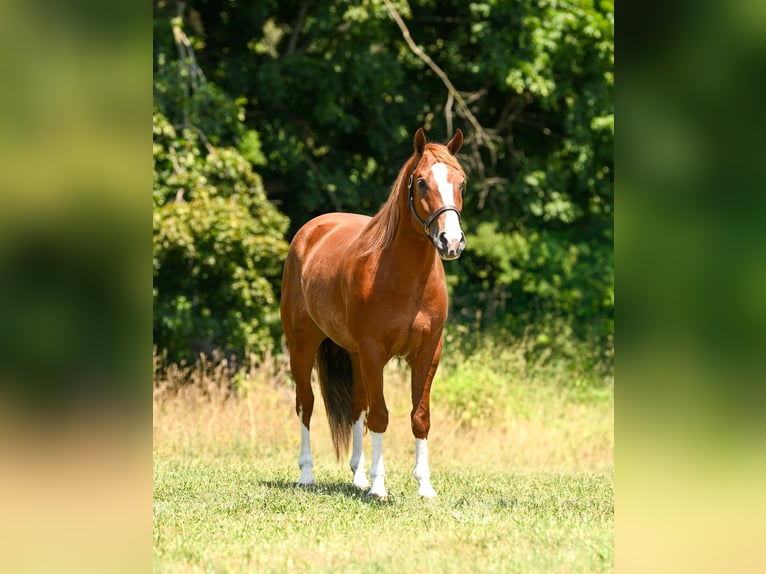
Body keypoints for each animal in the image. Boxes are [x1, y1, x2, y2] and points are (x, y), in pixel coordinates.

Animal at [280, 127, 466, 499]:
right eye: (421, 182)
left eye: (461, 183)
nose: (451, 241)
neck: (404, 278)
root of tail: (309, 232)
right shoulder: (374, 352)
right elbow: (379, 416)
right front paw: (380, 486)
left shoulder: (428, 353)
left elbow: (419, 417)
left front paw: (424, 486)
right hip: (303, 345)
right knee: (306, 404)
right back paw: (307, 474)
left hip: (353, 355)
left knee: (355, 407)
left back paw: (358, 475)